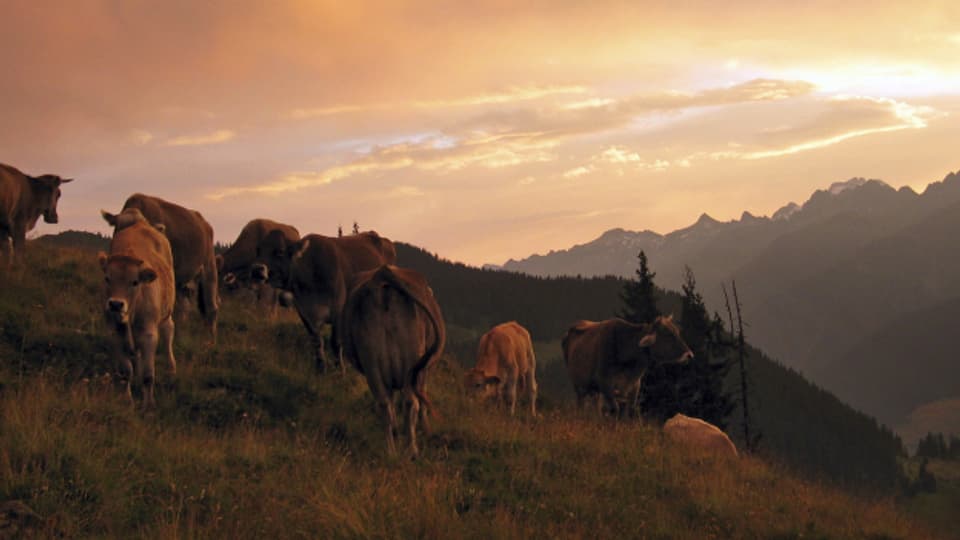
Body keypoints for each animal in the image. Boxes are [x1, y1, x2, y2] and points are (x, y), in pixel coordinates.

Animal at [99, 209, 178, 408]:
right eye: (107, 278)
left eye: (135, 282)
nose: (116, 304)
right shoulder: (114, 332)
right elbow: (125, 371)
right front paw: (127, 400)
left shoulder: (149, 333)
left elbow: (149, 375)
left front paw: (149, 405)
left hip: (166, 315)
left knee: (168, 334)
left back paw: (171, 368)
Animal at [103, 194, 219, 342]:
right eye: (118, 228)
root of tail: (205, 223)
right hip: (184, 281)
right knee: (185, 306)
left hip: (209, 268)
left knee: (211, 308)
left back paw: (210, 339)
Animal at [251, 230, 398, 374]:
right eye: (258, 250)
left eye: (280, 251)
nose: (257, 269)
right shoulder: (304, 313)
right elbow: (316, 341)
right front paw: (320, 369)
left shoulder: (338, 310)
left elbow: (335, 342)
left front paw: (340, 371)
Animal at [342, 264, 446, 458]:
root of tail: (383, 274)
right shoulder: (423, 371)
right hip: (412, 360)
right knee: (411, 402)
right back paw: (412, 450)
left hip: (371, 360)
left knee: (384, 404)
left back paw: (391, 451)